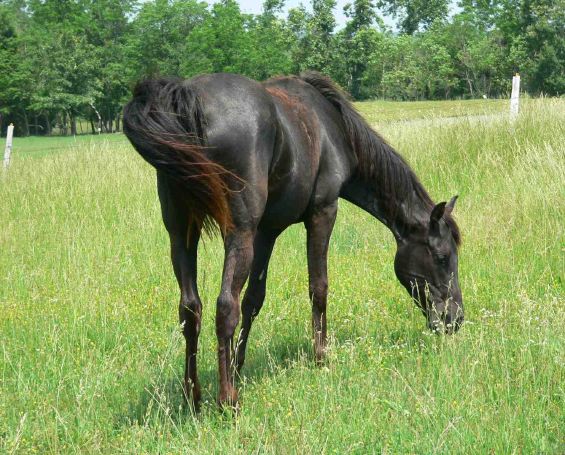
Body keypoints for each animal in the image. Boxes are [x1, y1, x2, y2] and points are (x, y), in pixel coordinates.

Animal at [123, 71, 462, 410]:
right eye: (443, 257)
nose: (454, 320)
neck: (334, 128)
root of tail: (186, 98)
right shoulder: (323, 212)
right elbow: (318, 287)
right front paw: (321, 357)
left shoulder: (267, 232)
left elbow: (253, 300)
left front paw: (238, 364)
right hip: (238, 234)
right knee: (224, 307)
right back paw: (228, 400)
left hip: (181, 235)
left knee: (190, 309)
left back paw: (193, 396)